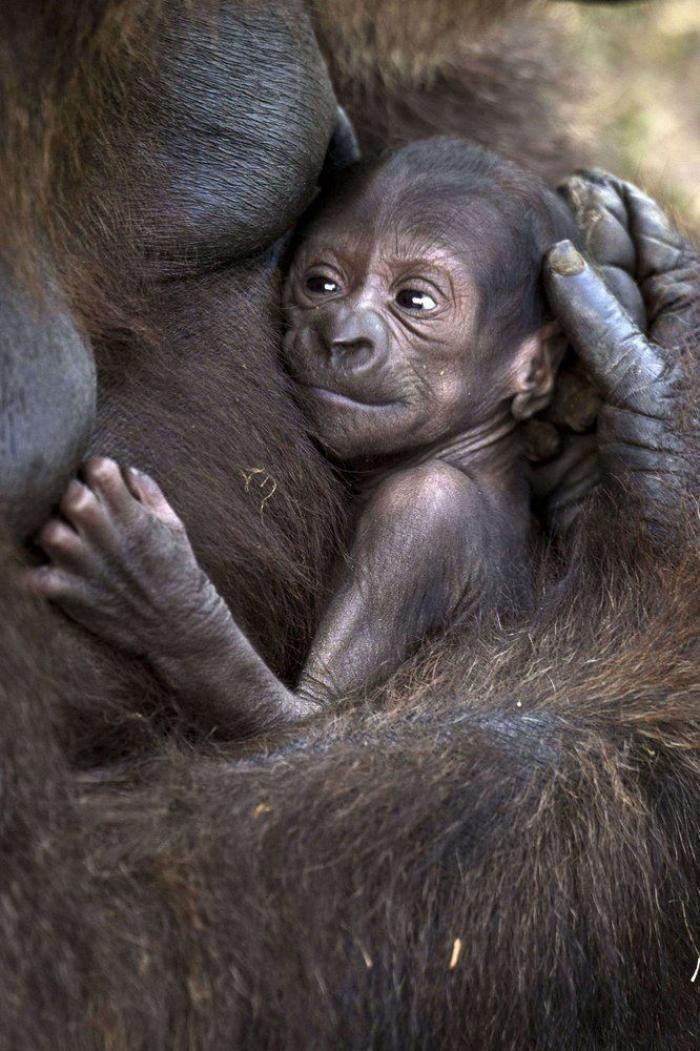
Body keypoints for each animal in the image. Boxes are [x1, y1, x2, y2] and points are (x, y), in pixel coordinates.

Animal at [27, 141, 581, 736]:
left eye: (415, 301)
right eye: (323, 285)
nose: (343, 338)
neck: (469, 448)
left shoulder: (423, 514)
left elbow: (312, 713)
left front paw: (156, 588)